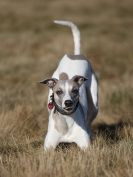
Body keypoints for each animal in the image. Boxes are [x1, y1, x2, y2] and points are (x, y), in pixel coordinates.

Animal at [40, 20, 98, 151]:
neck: (67, 120)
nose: (68, 103)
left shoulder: (85, 147)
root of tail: (76, 54)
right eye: (58, 91)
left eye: (75, 90)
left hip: (95, 103)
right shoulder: (48, 148)